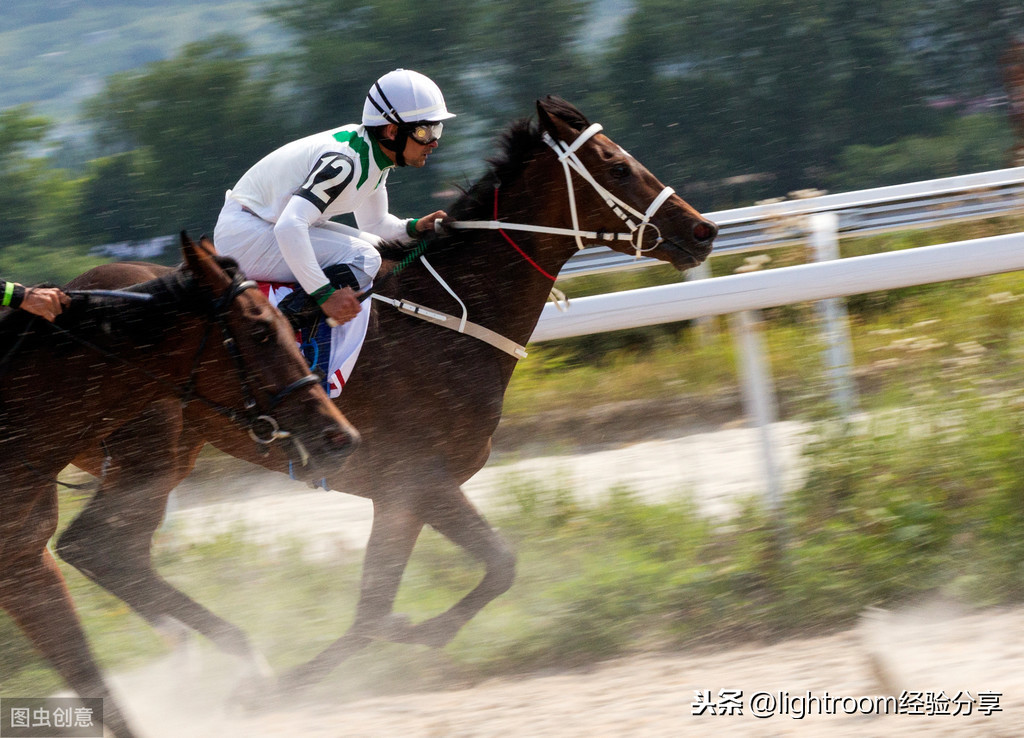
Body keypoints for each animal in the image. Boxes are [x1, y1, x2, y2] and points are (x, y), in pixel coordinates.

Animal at [56, 99, 720, 696]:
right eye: (617, 167)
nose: (704, 231)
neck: (448, 323)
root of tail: (71, 298)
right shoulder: (419, 478)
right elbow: (468, 576)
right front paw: (310, 673)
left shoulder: (401, 495)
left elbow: (390, 603)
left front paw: (392, 638)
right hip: (149, 454)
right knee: (90, 546)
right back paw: (231, 657)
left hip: (162, 459)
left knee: (113, 554)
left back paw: (201, 656)